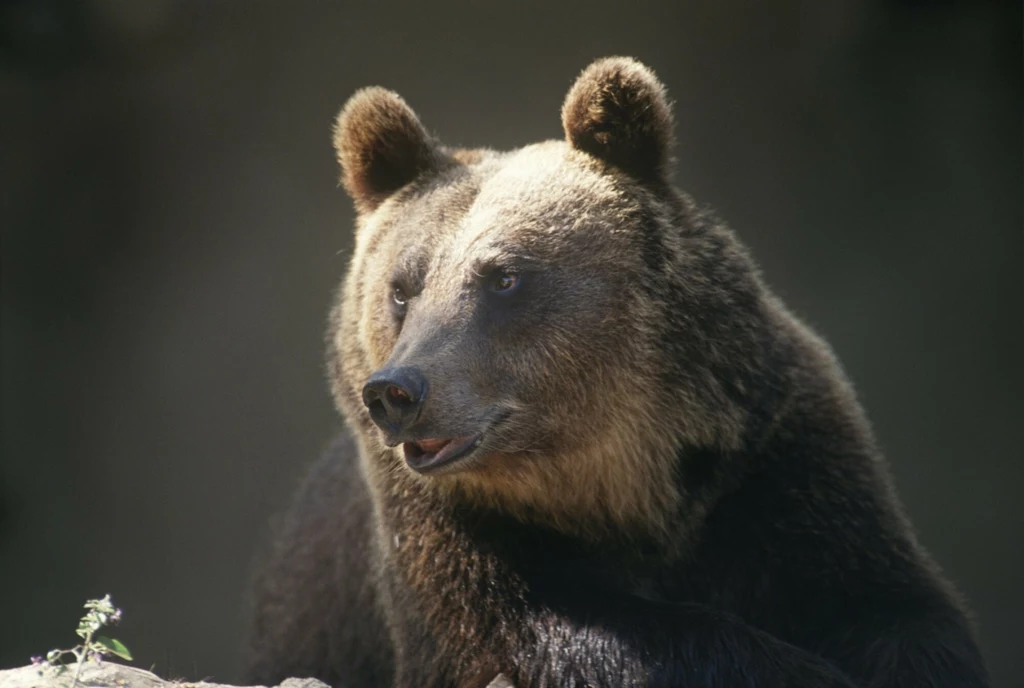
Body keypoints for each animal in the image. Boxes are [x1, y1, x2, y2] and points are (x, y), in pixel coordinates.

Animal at [243, 57, 987, 688]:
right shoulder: (441, 528)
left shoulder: (771, 457)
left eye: (503, 277)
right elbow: (540, 635)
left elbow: (891, 605)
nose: (398, 392)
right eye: (402, 288)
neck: (617, 476)